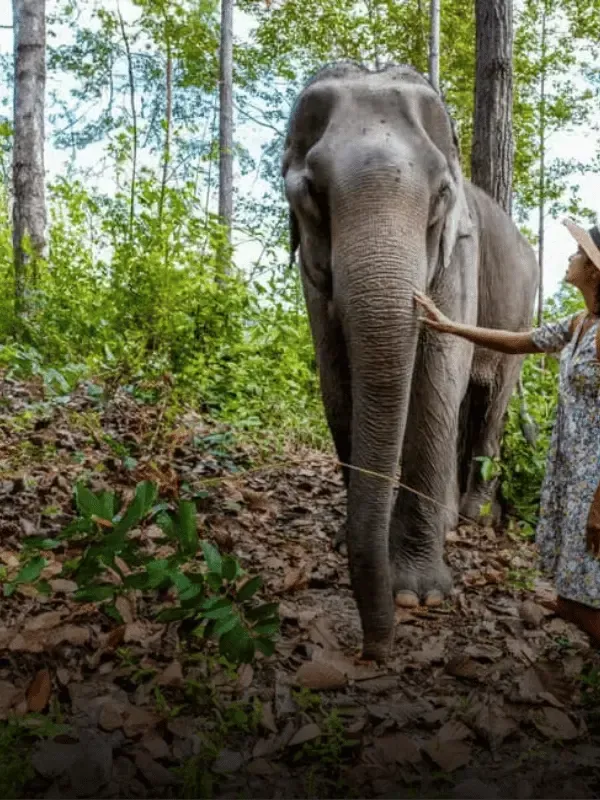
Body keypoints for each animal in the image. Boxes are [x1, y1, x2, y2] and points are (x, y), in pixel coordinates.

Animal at [281, 61, 539, 661]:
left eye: (442, 193)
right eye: (311, 192)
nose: (376, 647)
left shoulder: (461, 252)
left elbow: (439, 370)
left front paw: (417, 594)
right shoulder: (312, 272)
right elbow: (337, 379)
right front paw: (355, 547)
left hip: (522, 311)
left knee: (489, 401)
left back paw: (469, 519)